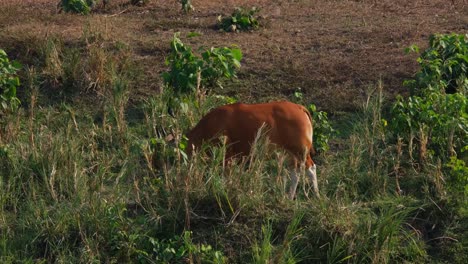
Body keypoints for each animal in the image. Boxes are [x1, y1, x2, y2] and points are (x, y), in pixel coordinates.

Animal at [186, 100, 318, 198]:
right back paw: (289, 197)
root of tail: (299, 107)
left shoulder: (227, 153)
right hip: (290, 152)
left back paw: (316, 195)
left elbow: (225, 174)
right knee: (295, 172)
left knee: (311, 168)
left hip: (300, 150)